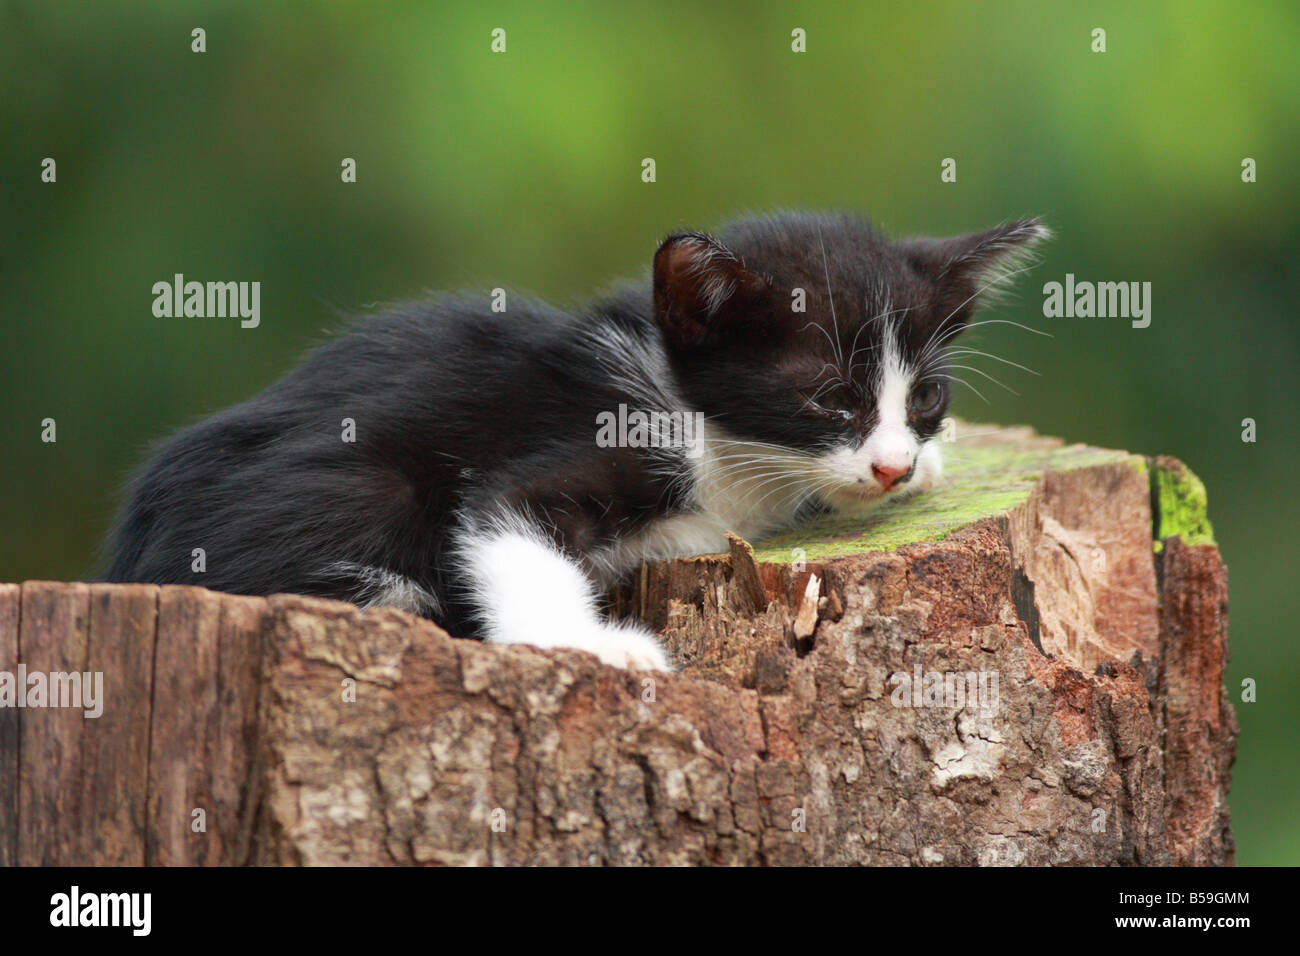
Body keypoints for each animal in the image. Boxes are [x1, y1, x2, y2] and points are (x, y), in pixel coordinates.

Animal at [106, 212, 1050, 671]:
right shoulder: (600, 438)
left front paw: (926, 466)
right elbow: (509, 523)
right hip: (348, 495)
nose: (892, 464)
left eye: (925, 396)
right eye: (829, 399)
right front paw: (596, 647)